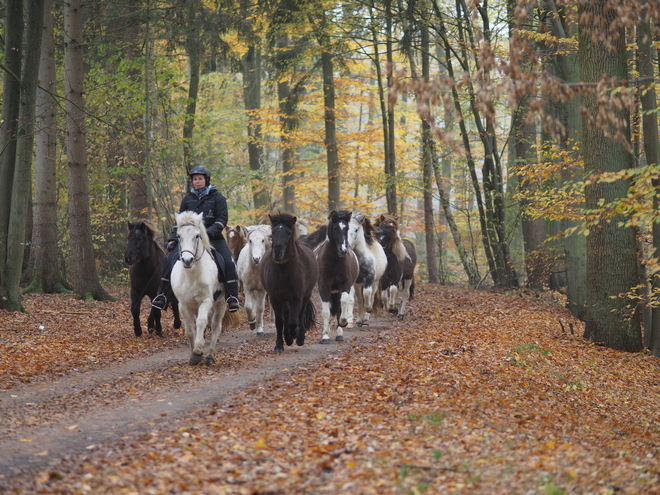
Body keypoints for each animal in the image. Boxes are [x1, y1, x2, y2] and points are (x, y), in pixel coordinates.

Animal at [170, 211, 235, 366]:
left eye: (197, 236)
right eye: (178, 236)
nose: (187, 260)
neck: (191, 275)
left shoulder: (206, 301)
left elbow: (201, 322)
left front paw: (198, 351)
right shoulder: (184, 304)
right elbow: (189, 330)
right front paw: (193, 354)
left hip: (220, 302)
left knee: (216, 327)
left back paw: (210, 356)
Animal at [260, 212, 318, 352]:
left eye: (288, 233)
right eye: (273, 232)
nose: (277, 252)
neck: (283, 272)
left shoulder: (297, 297)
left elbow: (293, 321)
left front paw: (294, 335)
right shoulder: (275, 298)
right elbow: (280, 322)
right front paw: (280, 344)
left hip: (305, 296)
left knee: (300, 314)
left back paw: (299, 337)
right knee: (286, 316)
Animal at [316, 210, 360, 344]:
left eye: (347, 228)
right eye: (335, 228)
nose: (343, 250)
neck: (334, 260)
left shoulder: (345, 285)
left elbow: (343, 304)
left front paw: (344, 322)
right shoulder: (324, 287)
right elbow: (326, 312)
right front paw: (325, 336)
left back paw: (339, 334)